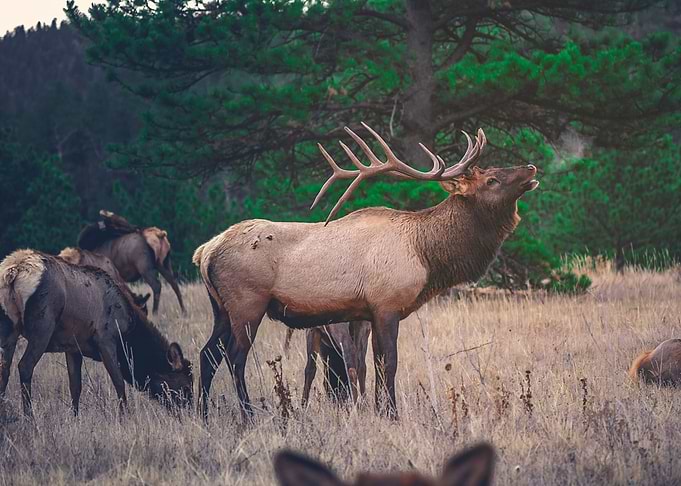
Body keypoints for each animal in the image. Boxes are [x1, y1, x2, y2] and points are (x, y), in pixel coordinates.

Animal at [0, 250, 193, 416]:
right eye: (185, 386)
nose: (190, 413)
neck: (128, 332)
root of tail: (13, 272)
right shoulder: (106, 340)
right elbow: (119, 382)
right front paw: (124, 417)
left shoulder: (72, 347)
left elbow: (75, 386)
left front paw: (75, 417)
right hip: (43, 325)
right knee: (24, 366)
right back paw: (29, 417)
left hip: (9, 328)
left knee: (4, 370)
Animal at [193, 123, 538, 420]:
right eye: (491, 179)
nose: (531, 168)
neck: (425, 254)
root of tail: (205, 251)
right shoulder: (386, 305)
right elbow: (390, 364)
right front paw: (393, 414)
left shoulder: (367, 312)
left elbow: (373, 365)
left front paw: (379, 411)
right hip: (247, 303)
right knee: (234, 358)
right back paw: (247, 415)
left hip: (221, 308)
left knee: (207, 354)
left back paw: (203, 414)